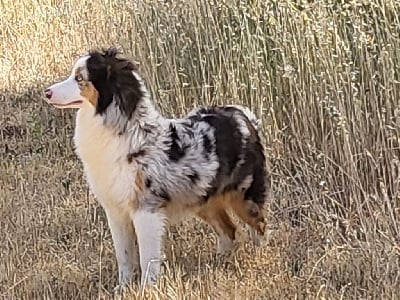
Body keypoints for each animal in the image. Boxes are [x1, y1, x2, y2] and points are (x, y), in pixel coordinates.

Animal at [43, 47, 268, 288]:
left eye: (79, 78)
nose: (47, 92)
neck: (123, 131)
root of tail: (243, 115)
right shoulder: (115, 210)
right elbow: (124, 255)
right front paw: (123, 288)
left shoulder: (145, 209)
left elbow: (147, 256)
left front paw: (146, 288)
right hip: (203, 200)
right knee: (229, 230)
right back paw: (219, 263)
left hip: (243, 197)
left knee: (259, 226)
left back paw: (259, 257)